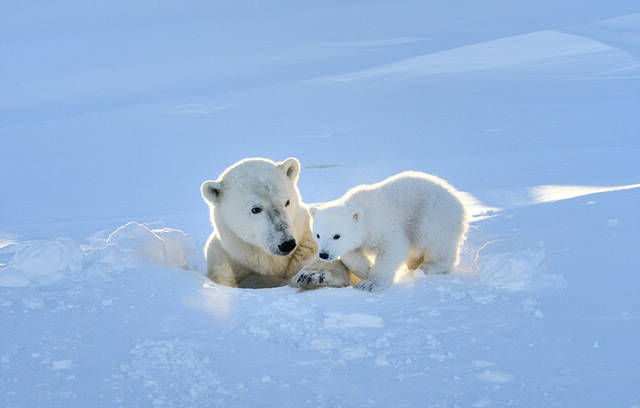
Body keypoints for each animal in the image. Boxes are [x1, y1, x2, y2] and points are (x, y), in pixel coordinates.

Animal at [200, 158, 350, 288]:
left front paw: (314, 275)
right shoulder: (227, 260)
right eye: (256, 209)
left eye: (287, 202)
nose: (287, 244)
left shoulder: (308, 242)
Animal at [308, 171, 468, 292]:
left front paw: (370, 283)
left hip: (434, 214)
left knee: (435, 239)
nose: (324, 254)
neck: (364, 212)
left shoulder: (381, 225)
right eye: (318, 235)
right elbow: (350, 254)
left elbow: (392, 248)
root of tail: (460, 202)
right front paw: (366, 269)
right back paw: (414, 264)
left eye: (336, 236)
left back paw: (430, 266)